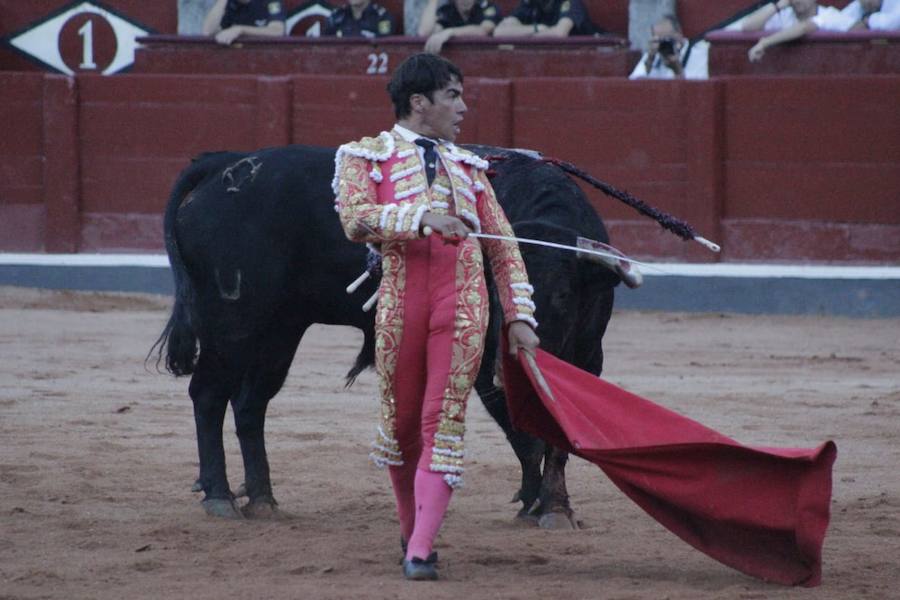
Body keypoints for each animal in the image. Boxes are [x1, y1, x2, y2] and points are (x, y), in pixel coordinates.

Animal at [156, 144, 620, 524]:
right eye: (493, 290)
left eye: (563, 294)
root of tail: (224, 164)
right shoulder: (485, 363)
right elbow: (525, 436)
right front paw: (540, 504)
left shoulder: (588, 355)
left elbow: (558, 434)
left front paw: (551, 506)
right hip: (231, 322)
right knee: (209, 394)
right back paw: (220, 497)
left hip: (278, 329)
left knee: (250, 404)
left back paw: (262, 499)